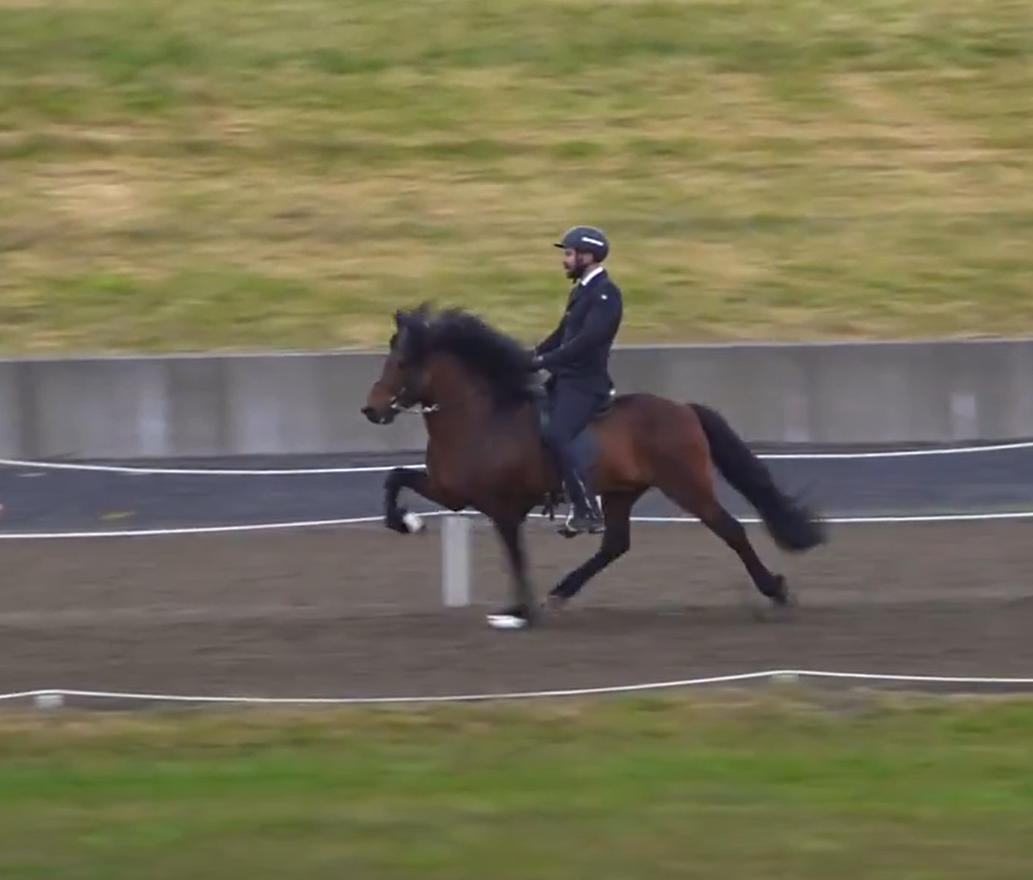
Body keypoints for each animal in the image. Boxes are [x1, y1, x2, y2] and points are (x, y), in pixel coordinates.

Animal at [359, 301, 826, 623]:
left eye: (402, 362)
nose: (371, 409)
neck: (481, 417)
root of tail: (684, 408)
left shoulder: (501, 507)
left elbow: (515, 555)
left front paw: (521, 611)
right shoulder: (451, 492)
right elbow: (394, 478)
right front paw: (405, 522)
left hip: (688, 486)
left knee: (731, 530)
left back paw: (776, 591)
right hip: (621, 492)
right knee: (615, 544)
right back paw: (562, 591)